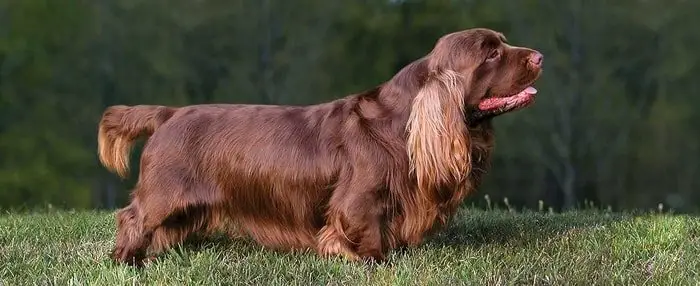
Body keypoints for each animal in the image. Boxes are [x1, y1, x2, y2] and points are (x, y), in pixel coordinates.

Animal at [98, 27, 540, 266]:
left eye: (502, 44)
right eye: (492, 53)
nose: (539, 56)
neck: (402, 122)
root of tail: (168, 114)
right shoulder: (359, 200)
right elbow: (365, 234)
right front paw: (374, 262)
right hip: (164, 192)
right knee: (132, 218)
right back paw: (128, 261)